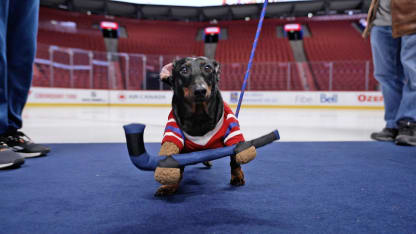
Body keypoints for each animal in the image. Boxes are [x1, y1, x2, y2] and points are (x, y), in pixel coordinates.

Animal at [154, 56, 255, 196]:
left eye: (208, 68)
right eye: (183, 70)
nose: (200, 91)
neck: (199, 116)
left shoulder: (232, 130)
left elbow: (235, 157)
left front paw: (237, 176)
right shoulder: (173, 133)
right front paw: (169, 186)